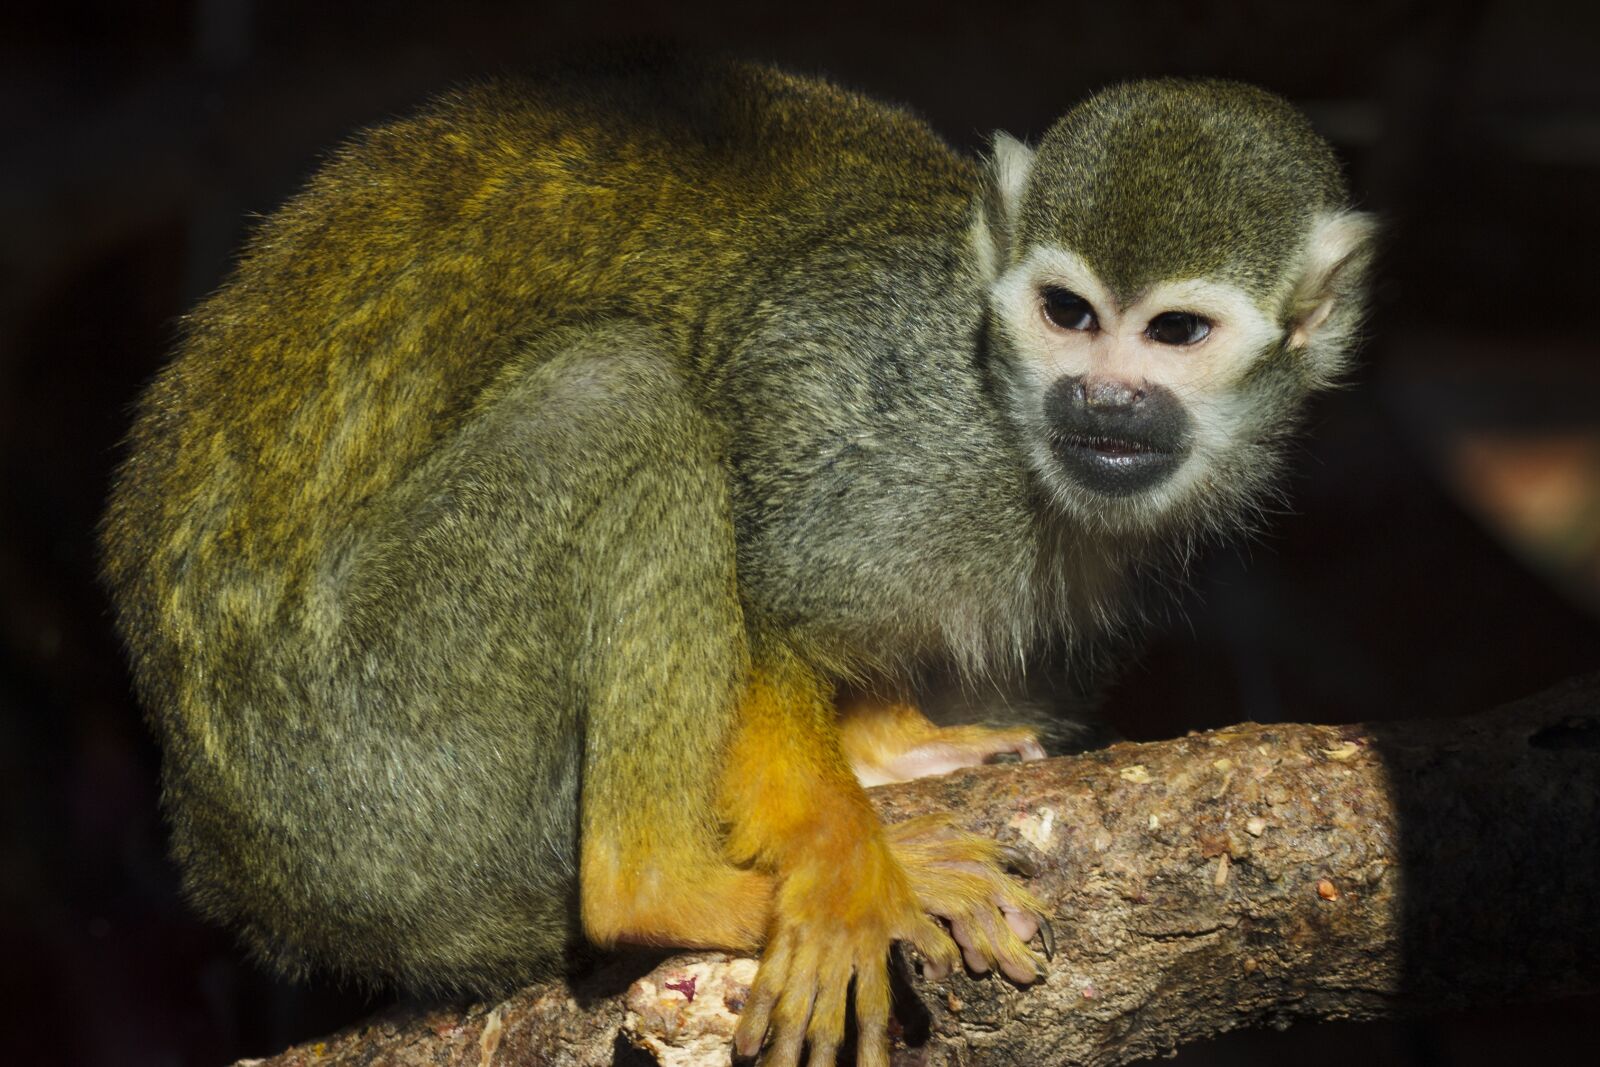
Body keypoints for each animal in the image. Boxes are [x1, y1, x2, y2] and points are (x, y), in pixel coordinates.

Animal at [100, 53, 1373, 1066]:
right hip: (379, 747)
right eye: (1068, 313)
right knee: (620, 394)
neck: (1012, 435)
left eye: (1175, 333)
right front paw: (846, 865)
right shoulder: (883, 417)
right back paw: (665, 882)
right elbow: (765, 598)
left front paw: (883, 749)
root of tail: (236, 858)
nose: (1101, 402)